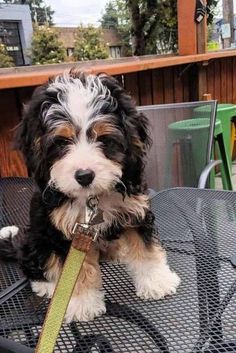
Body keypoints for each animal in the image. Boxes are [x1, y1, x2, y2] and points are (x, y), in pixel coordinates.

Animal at [0, 70, 179, 320]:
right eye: (62, 142)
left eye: (103, 139)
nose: (84, 175)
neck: (92, 197)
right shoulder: (64, 230)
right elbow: (77, 272)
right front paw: (83, 303)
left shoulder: (135, 210)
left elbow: (145, 247)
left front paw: (156, 281)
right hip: (37, 237)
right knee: (34, 262)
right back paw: (48, 284)